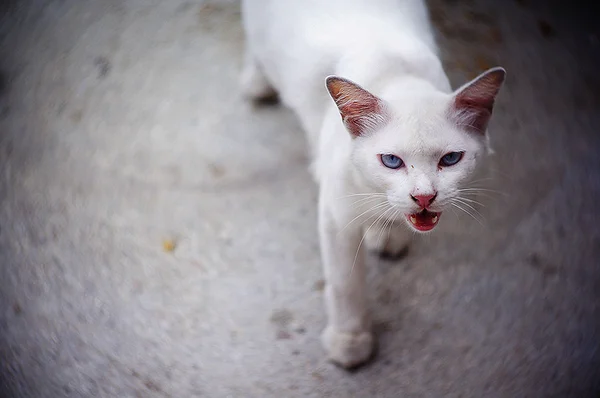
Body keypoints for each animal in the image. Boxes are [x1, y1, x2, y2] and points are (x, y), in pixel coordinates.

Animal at [239, 0, 506, 368]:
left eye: (451, 159)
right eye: (391, 161)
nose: (424, 196)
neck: (396, 71)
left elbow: (388, 213)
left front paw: (386, 232)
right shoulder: (336, 217)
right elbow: (345, 284)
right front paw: (350, 340)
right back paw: (257, 81)